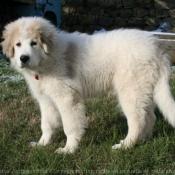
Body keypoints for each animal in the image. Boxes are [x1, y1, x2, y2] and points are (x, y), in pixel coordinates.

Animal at [1, 16, 175, 153]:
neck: (47, 58)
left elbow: (70, 126)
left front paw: (68, 150)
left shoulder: (67, 98)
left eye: (34, 43)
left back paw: (125, 145)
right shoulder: (46, 100)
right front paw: (42, 144)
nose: (24, 58)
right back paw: (143, 140)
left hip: (130, 91)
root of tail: (157, 46)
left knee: (138, 120)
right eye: (18, 44)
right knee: (150, 117)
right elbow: (47, 124)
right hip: (143, 89)